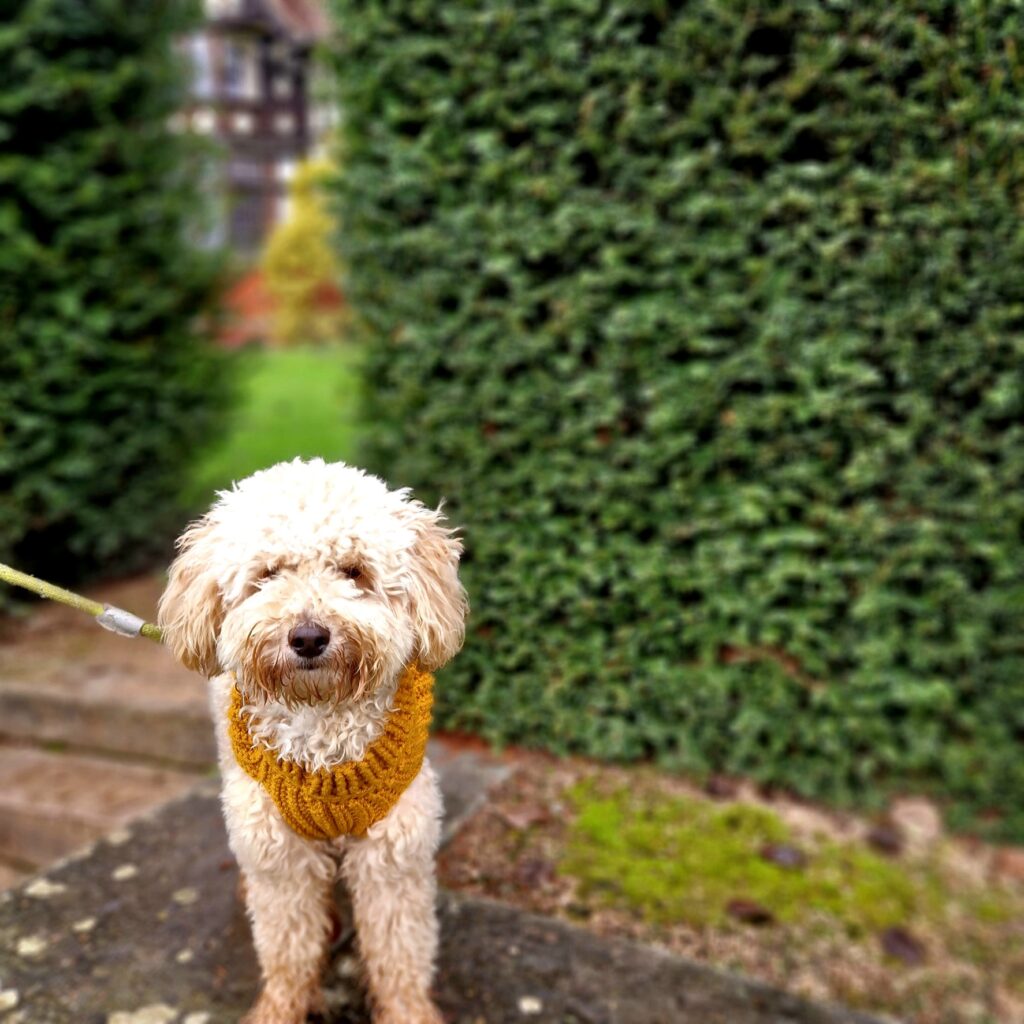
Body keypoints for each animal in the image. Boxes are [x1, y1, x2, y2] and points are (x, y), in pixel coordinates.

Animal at [158, 458, 468, 1024]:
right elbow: (288, 947)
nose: (307, 637)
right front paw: (282, 1005)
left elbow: (398, 948)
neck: (322, 728)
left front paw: (406, 1009)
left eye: (354, 571)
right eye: (267, 574)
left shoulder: (394, 851)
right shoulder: (280, 854)